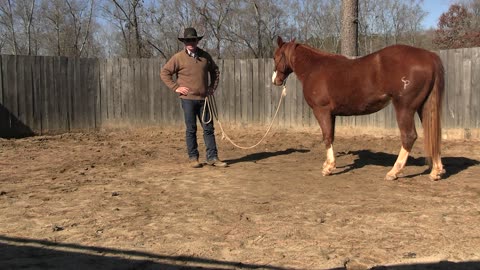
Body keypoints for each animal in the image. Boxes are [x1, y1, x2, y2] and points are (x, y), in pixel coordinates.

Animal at [272, 35, 444, 179]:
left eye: (275, 56)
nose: (275, 80)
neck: (314, 68)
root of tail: (430, 57)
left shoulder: (321, 111)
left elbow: (327, 137)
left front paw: (328, 168)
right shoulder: (332, 114)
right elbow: (331, 136)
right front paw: (328, 164)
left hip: (404, 108)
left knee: (409, 136)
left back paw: (394, 172)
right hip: (424, 107)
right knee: (432, 134)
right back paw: (436, 171)